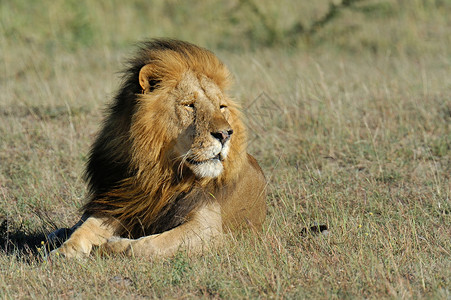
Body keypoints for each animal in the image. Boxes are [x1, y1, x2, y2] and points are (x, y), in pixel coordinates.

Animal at [49, 38, 266, 258]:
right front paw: (64, 252)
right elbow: (86, 228)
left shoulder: (209, 229)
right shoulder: (120, 203)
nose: (225, 134)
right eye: (189, 105)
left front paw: (111, 245)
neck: (160, 173)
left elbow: (148, 245)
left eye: (222, 107)